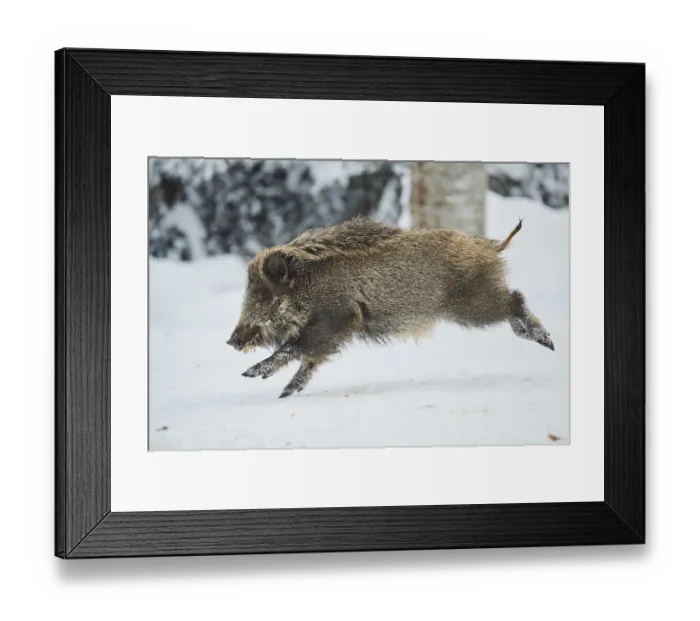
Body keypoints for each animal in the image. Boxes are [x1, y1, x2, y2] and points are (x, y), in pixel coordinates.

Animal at [227, 216, 554, 398]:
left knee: (515, 300)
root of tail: (489, 247)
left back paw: (548, 342)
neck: (308, 285)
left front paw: (250, 374)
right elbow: (309, 361)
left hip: (472, 306)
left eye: (265, 295)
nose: (232, 340)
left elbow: (295, 348)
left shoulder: (336, 320)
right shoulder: (331, 334)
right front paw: (284, 394)